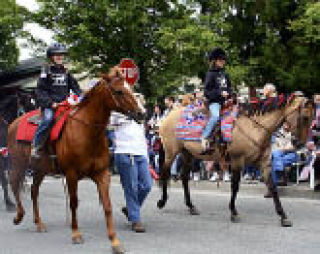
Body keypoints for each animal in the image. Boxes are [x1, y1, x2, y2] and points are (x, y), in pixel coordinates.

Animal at [6, 66, 144, 253]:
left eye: (130, 89)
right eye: (118, 91)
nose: (142, 113)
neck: (87, 132)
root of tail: (13, 123)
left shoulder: (102, 174)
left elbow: (107, 206)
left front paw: (115, 241)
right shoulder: (71, 175)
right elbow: (73, 203)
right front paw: (76, 234)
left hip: (40, 169)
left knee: (34, 190)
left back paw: (39, 223)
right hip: (18, 163)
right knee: (14, 184)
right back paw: (18, 216)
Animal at [159, 95, 314, 226]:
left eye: (312, 118)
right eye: (305, 117)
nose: (300, 144)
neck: (254, 128)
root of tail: (168, 116)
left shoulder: (264, 163)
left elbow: (273, 187)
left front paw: (283, 216)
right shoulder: (237, 161)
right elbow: (235, 186)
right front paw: (233, 212)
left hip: (188, 154)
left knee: (184, 177)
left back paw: (191, 206)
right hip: (171, 152)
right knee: (165, 172)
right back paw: (162, 201)